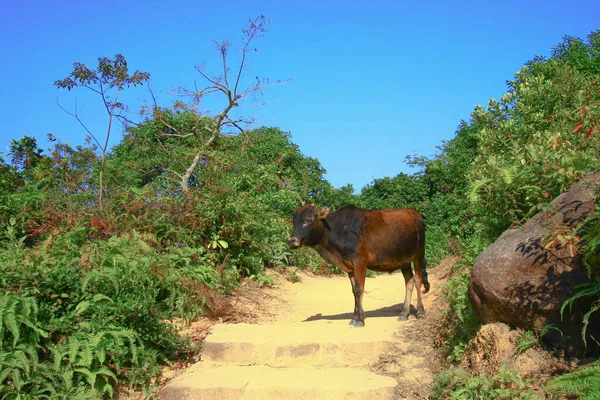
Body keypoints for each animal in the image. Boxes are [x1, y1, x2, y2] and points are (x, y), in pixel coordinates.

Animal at [288, 205, 428, 326]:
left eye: (308, 220)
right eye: (294, 222)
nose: (291, 240)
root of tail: (414, 213)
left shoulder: (360, 261)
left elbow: (359, 288)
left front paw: (360, 319)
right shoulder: (350, 268)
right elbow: (354, 291)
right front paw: (355, 317)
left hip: (419, 254)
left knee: (418, 280)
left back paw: (420, 312)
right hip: (404, 260)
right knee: (409, 281)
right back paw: (404, 313)